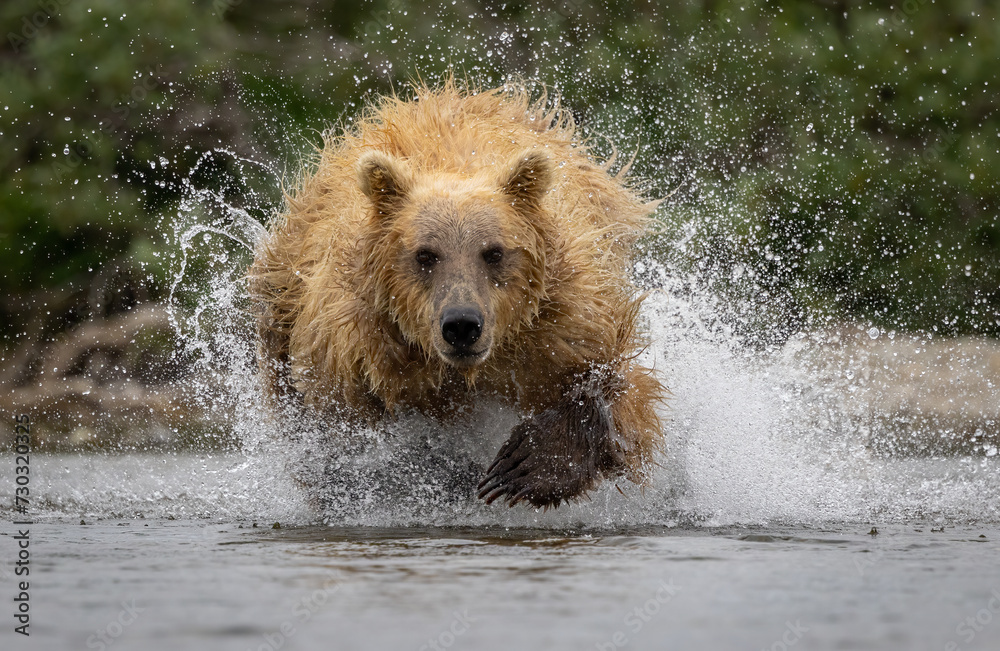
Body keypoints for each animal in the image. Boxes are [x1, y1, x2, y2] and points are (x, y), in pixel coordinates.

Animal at [249, 79, 665, 508]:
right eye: (425, 255)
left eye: (494, 252)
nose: (462, 325)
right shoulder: (356, 353)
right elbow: (344, 448)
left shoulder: (562, 323)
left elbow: (620, 391)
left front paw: (524, 466)